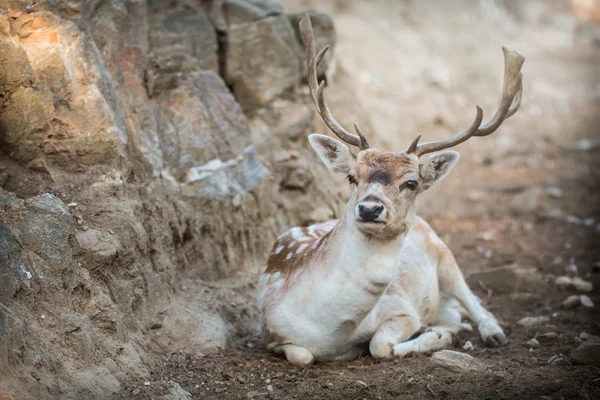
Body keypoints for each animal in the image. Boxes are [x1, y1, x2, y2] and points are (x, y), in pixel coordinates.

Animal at [258, 14, 524, 366]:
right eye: (351, 177)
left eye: (411, 183)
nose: (370, 208)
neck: (327, 331)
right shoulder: (268, 331)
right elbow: (301, 355)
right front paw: (434, 334)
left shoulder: (400, 308)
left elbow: (380, 346)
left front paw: (432, 337)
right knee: (455, 312)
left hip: (445, 255)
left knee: (471, 299)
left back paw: (490, 332)